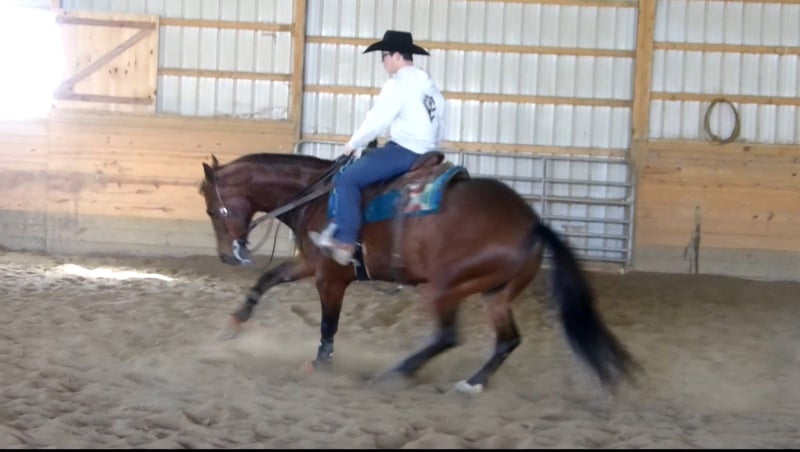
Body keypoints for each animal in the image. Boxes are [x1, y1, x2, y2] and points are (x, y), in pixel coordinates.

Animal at [199, 150, 639, 394]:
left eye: (211, 209)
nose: (226, 255)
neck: (318, 196)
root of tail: (532, 223)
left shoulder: (331, 277)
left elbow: (328, 324)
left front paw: (319, 366)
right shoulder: (310, 263)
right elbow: (266, 280)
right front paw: (231, 326)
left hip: (446, 287)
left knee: (447, 336)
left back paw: (395, 373)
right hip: (495, 293)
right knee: (507, 341)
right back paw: (470, 384)